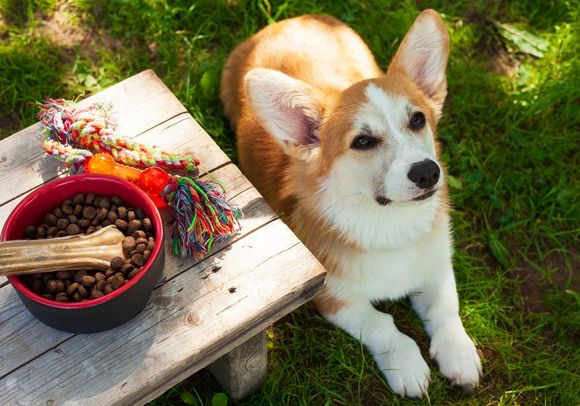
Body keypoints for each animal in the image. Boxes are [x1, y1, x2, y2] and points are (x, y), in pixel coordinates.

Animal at [220, 8, 482, 396]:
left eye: (418, 119)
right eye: (362, 142)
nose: (427, 173)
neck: (388, 222)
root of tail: (294, 19)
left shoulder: (437, 267)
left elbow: (445, 309)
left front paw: (459, 354)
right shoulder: (332, 297)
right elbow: (383, 325)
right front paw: (407, 366)